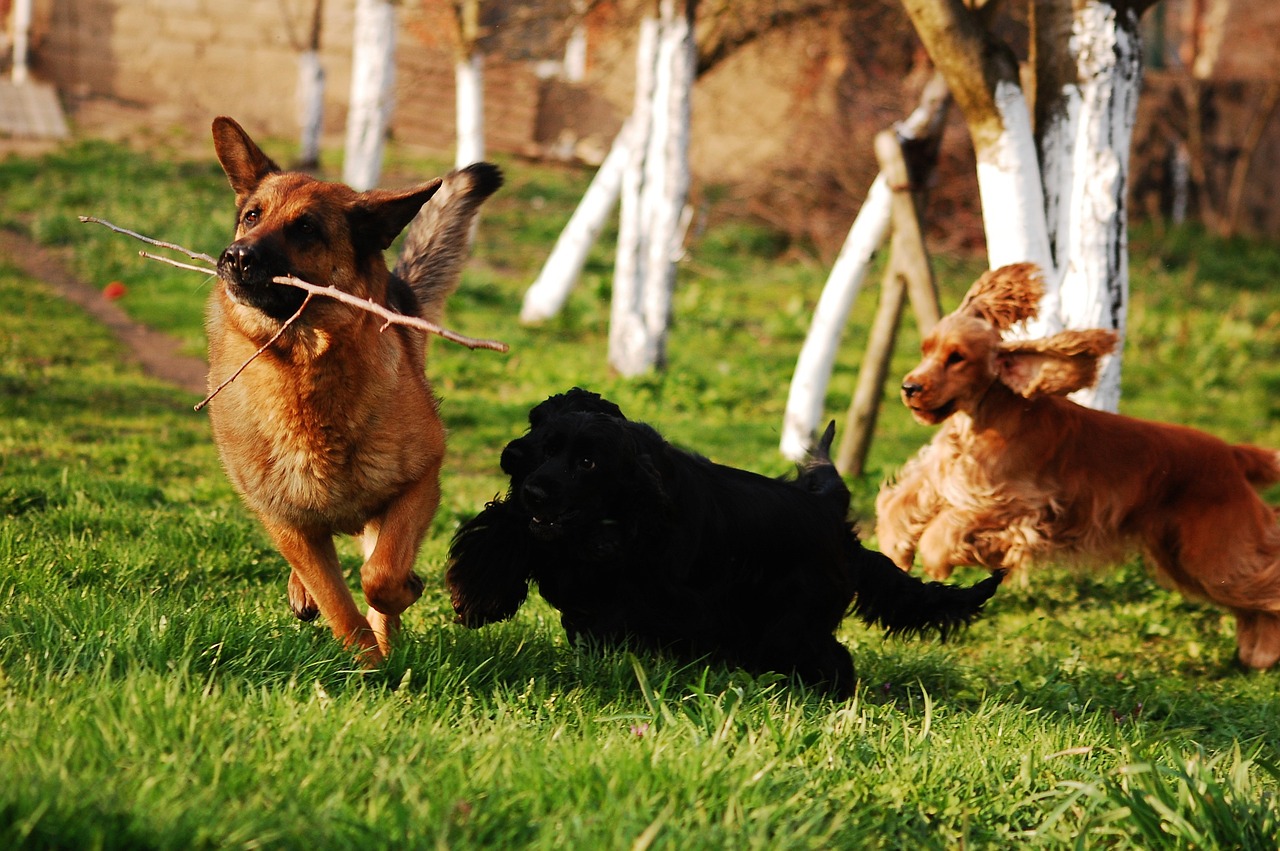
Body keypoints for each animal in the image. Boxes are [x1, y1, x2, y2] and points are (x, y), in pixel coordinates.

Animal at [204, 116, 499, 660]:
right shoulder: (285, 522)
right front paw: (367, 667)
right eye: (252, 216)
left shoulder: (417, 484)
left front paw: (397, 620)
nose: (235, 257)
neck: (303, 369)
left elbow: (378, 577)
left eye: (306, 228)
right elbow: (339, 604)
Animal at [445, 389, 1003, 696]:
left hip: (790, 626)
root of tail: (832, 516)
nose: (535, 489)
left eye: (588, 462)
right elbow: (506, 537)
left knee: (832, 659)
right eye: (545, 447)